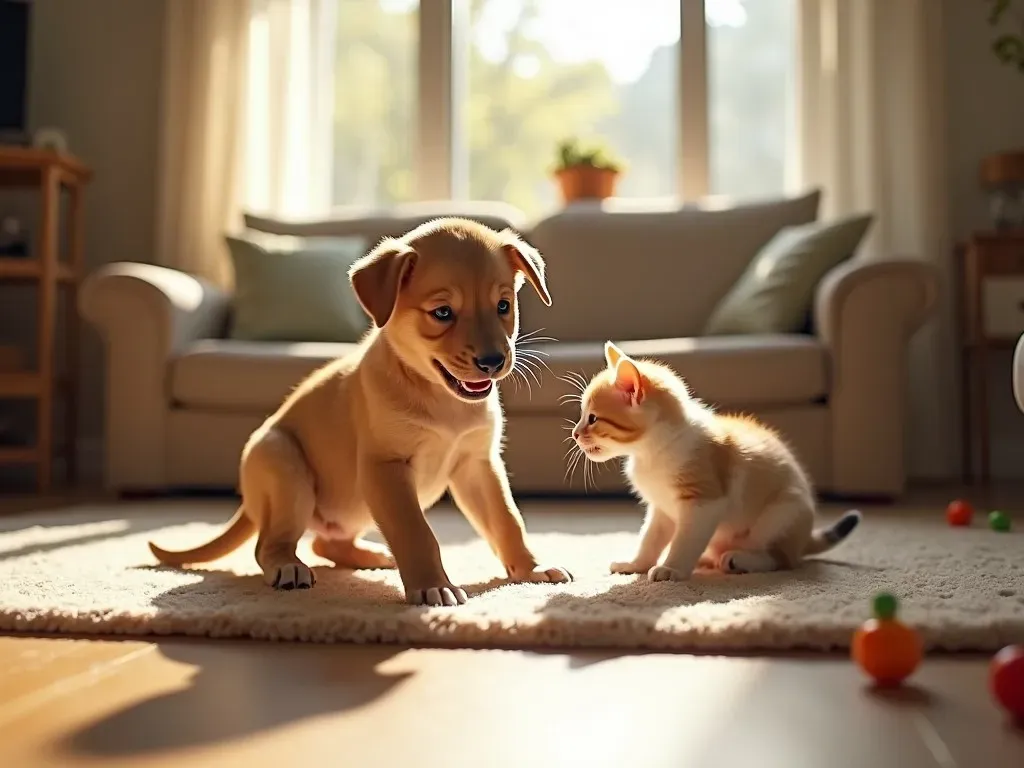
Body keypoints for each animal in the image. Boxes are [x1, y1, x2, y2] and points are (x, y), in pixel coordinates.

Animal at [148, 217, 573, 606]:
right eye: (442, 313)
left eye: (503, 305)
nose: (493, 361)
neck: (439, 398)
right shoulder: (387, 469)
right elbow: (416, 533)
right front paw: (433, 586)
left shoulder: (478, 465)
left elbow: (507, 520)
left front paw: (531, 569)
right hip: (285, 469)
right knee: (270, 544)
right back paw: (289, 567)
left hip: (353, 508)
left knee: (327, 544)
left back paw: (372, 555)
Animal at [573, 342, 860, 581]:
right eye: (583, 416)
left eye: (593, 419)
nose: (575, 434)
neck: (652, 451)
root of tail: (805, 537)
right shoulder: (662, 509)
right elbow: (650, 538)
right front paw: (636, 565)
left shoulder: (705, 502)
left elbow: (685, 540)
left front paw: (671, 568)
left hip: (781, 514)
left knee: (782, 559)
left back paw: (739, 560)